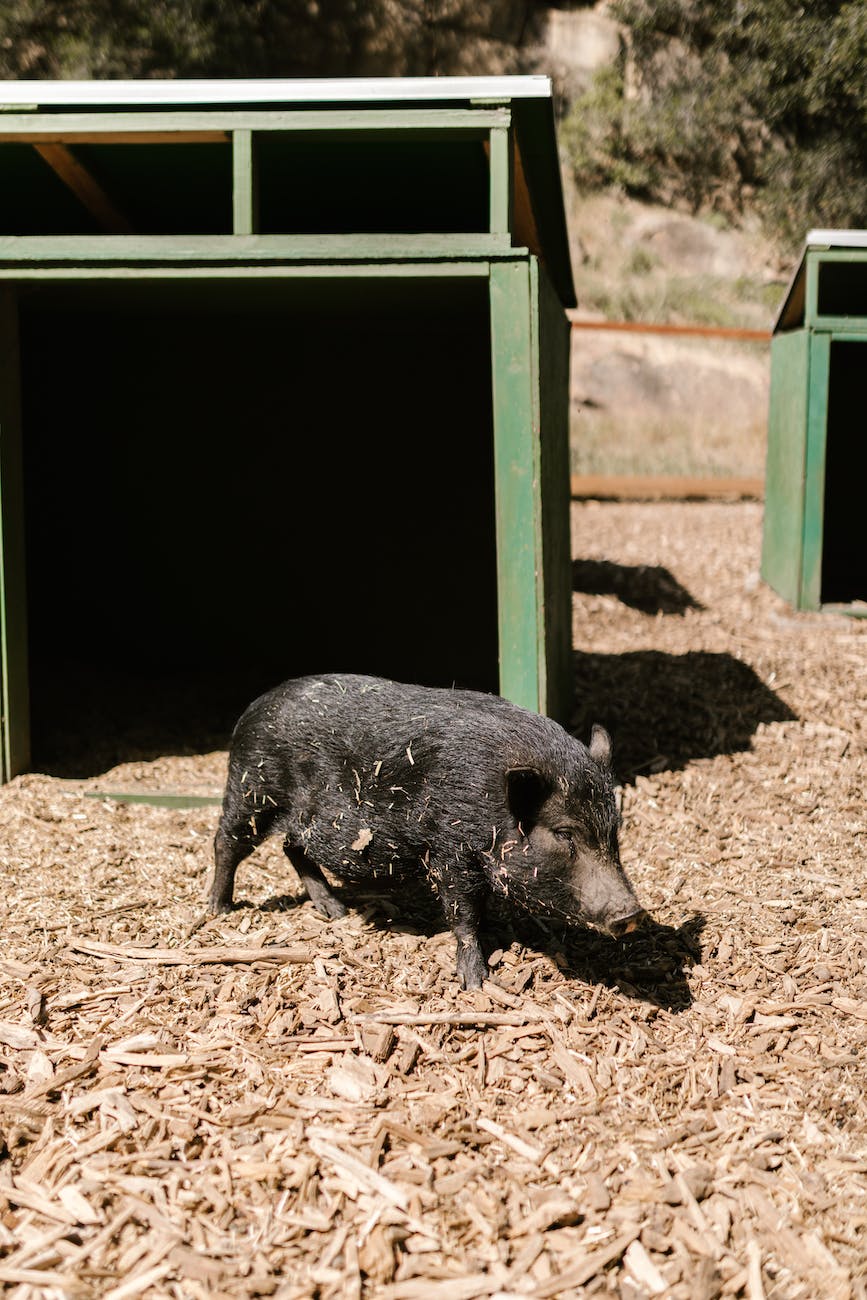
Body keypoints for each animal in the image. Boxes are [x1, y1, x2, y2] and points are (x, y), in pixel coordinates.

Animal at [210, 676, 644, 987]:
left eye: (614, 830)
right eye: (564, 834)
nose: (633, 912)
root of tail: (253, 708)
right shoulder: (448, 850)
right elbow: (463, 914)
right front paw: (478, 983)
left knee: (291, 848)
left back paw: (335, 912)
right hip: (251, 792)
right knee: (226, 843)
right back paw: (218, 909)